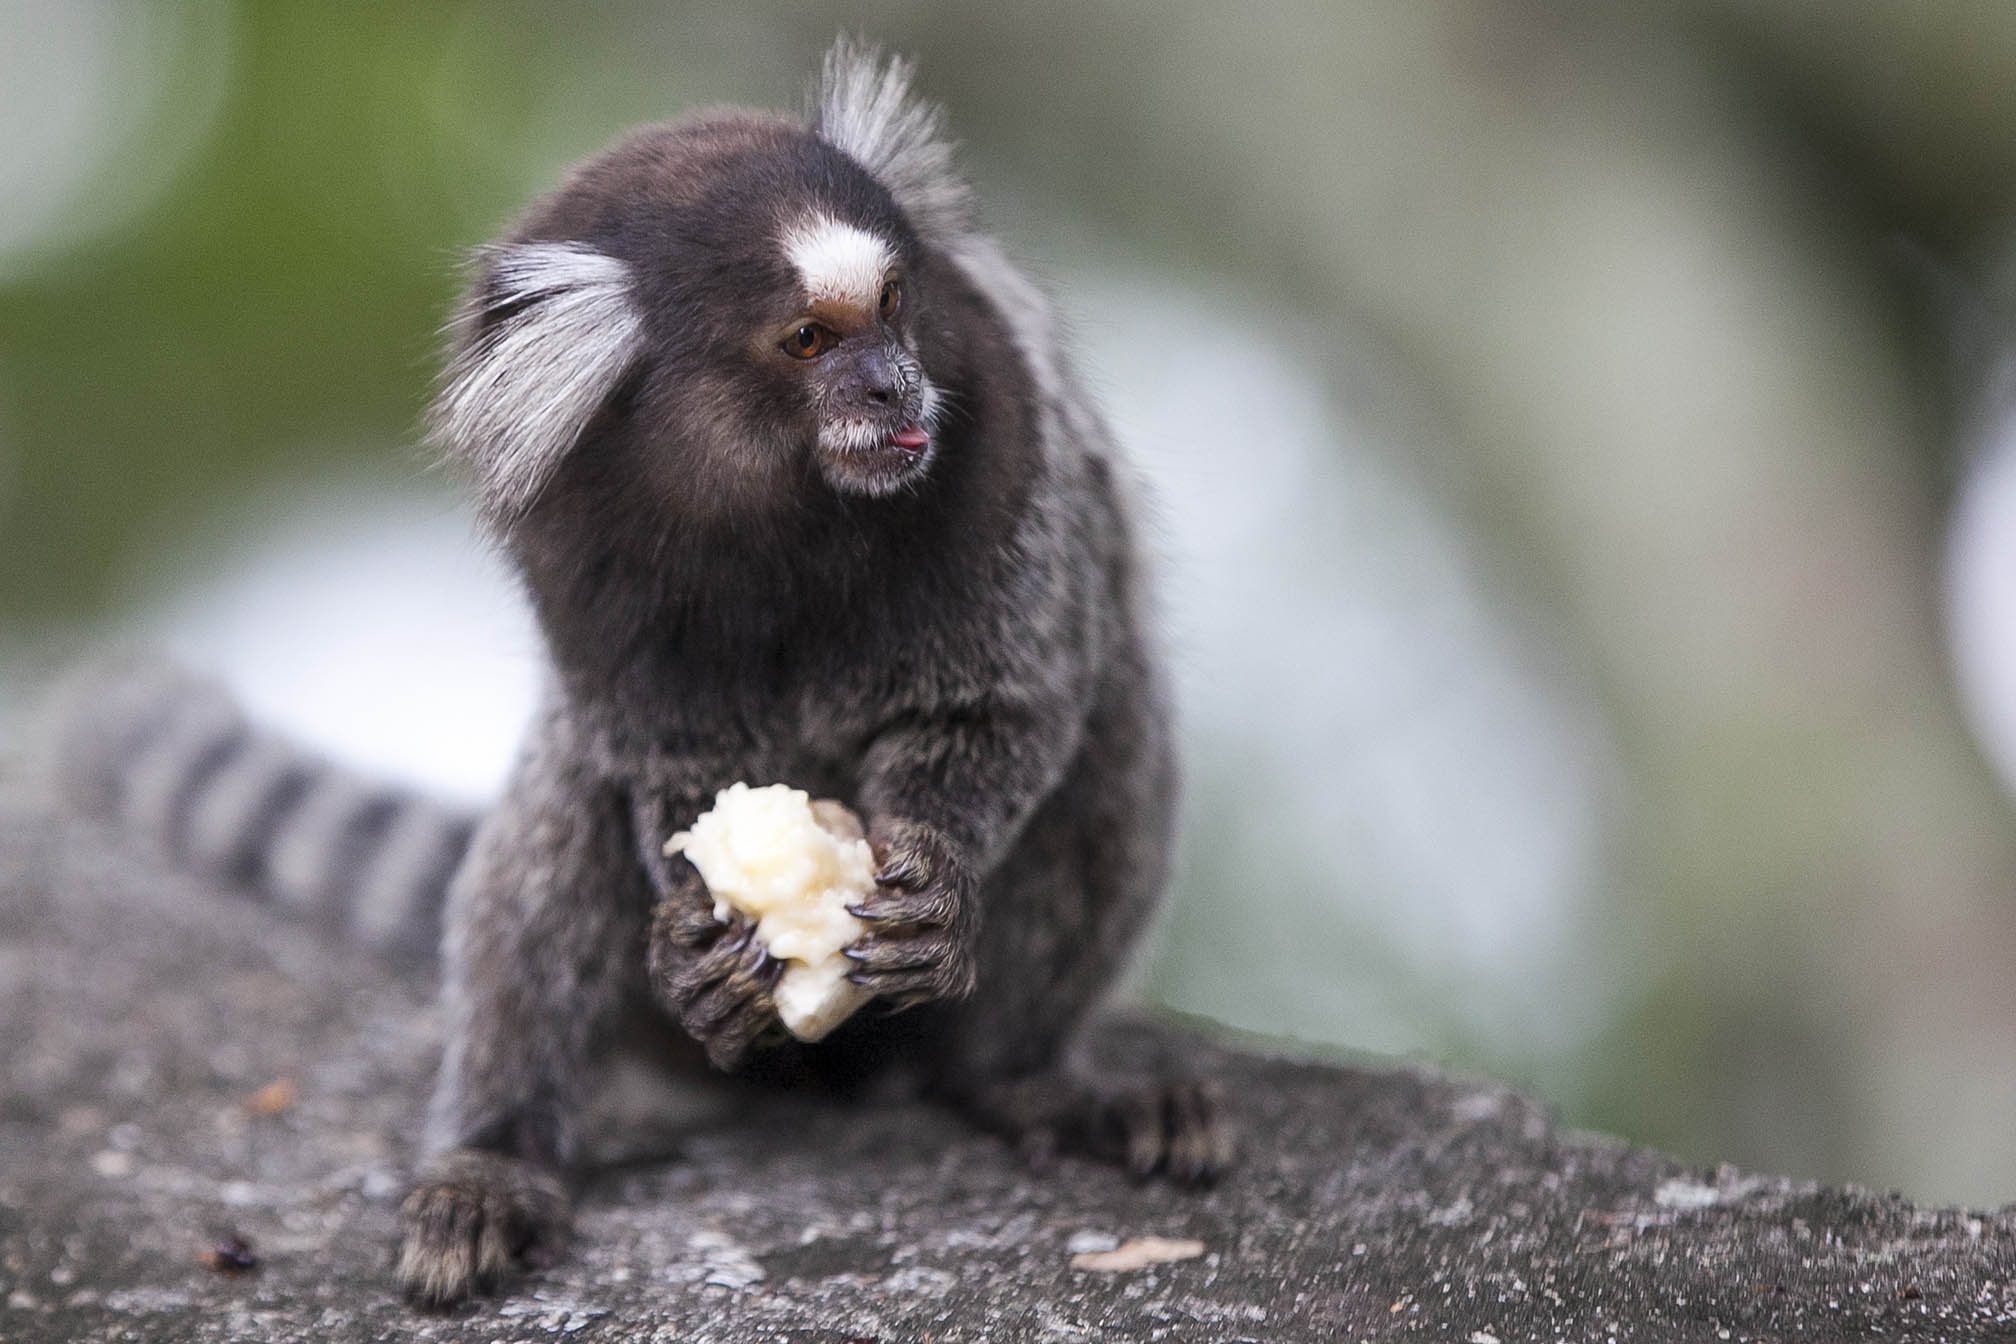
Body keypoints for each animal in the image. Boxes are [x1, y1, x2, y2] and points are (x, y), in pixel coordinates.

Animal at [45, 37, 1231, 1309]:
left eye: (893, 308)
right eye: (808, 339)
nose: (894, 389)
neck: (789, 515)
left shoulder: (1009, 449)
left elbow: (1009, 705)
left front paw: (938, 881)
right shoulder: (578, 554)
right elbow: (669, 767)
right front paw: (697, 950)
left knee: (1112, 738)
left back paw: (1026, 1081)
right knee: (555, 820)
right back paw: (497, 1160)